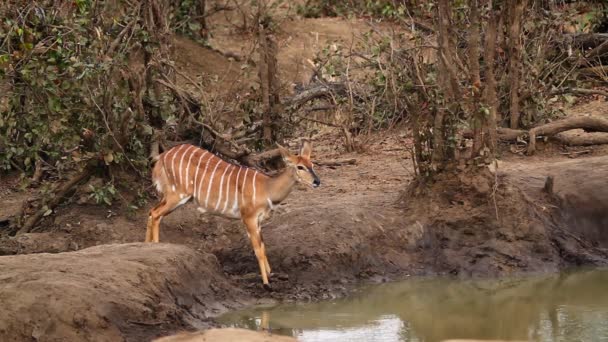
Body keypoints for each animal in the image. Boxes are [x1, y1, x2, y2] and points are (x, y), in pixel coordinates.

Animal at [145, 140, 320, 288]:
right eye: (300, 167)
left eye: (312, 164)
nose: (317, 182)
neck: (267, 188)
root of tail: (163, 157)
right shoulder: (248, 218)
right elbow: (258, 250)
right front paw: (266, 283)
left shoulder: (258, 221)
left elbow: (263, 247)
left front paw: (272, 274)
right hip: (178, 194)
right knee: (156, 214)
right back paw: (155, 246)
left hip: (171, 196)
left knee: (152, 212)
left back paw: (147, 244)